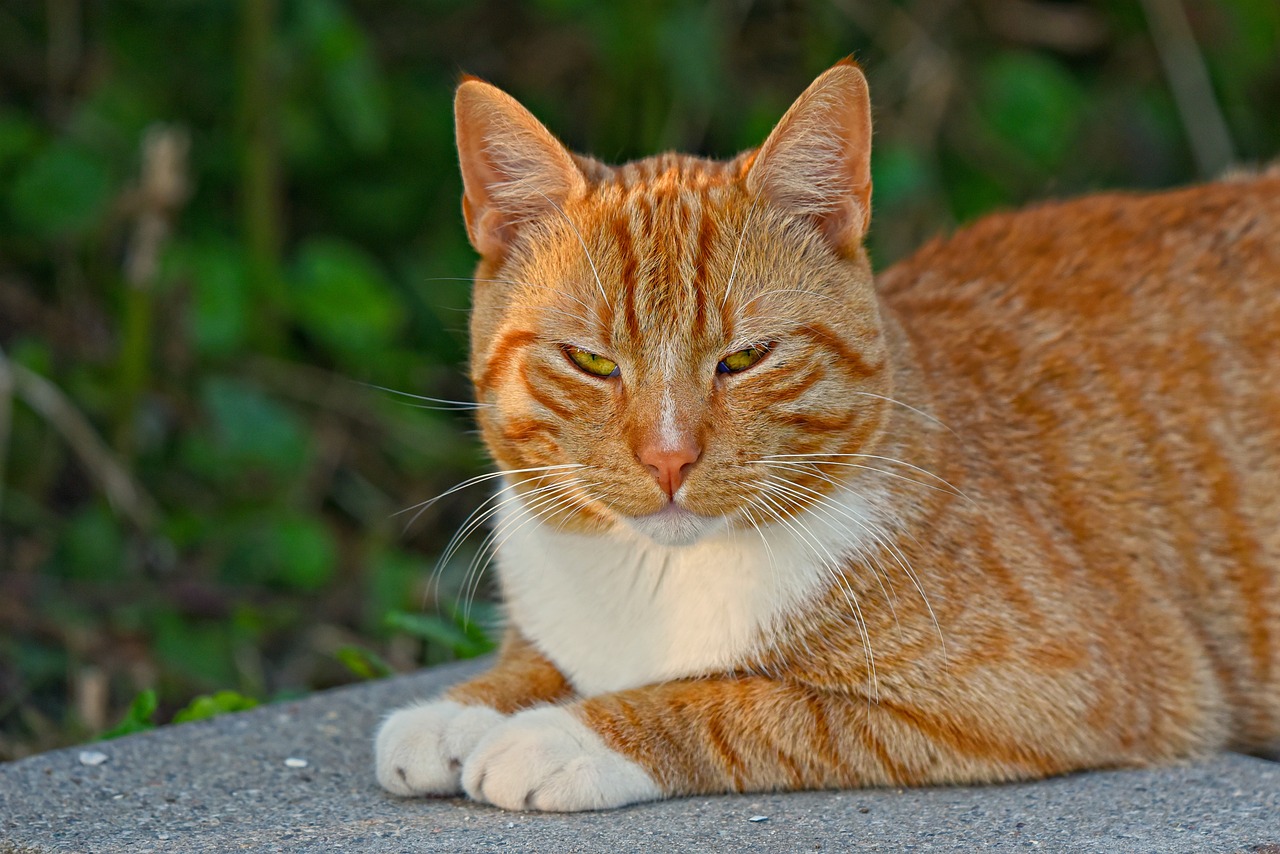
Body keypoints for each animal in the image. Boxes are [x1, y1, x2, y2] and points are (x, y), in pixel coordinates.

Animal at [373, 61, 1280, 814]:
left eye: (744, 358)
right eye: (593, 362)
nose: (668, 458)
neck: (655, 580)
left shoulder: (1048, 690)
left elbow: (740, 702)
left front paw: (563, 734)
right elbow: (536, 658)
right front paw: (461, 710)